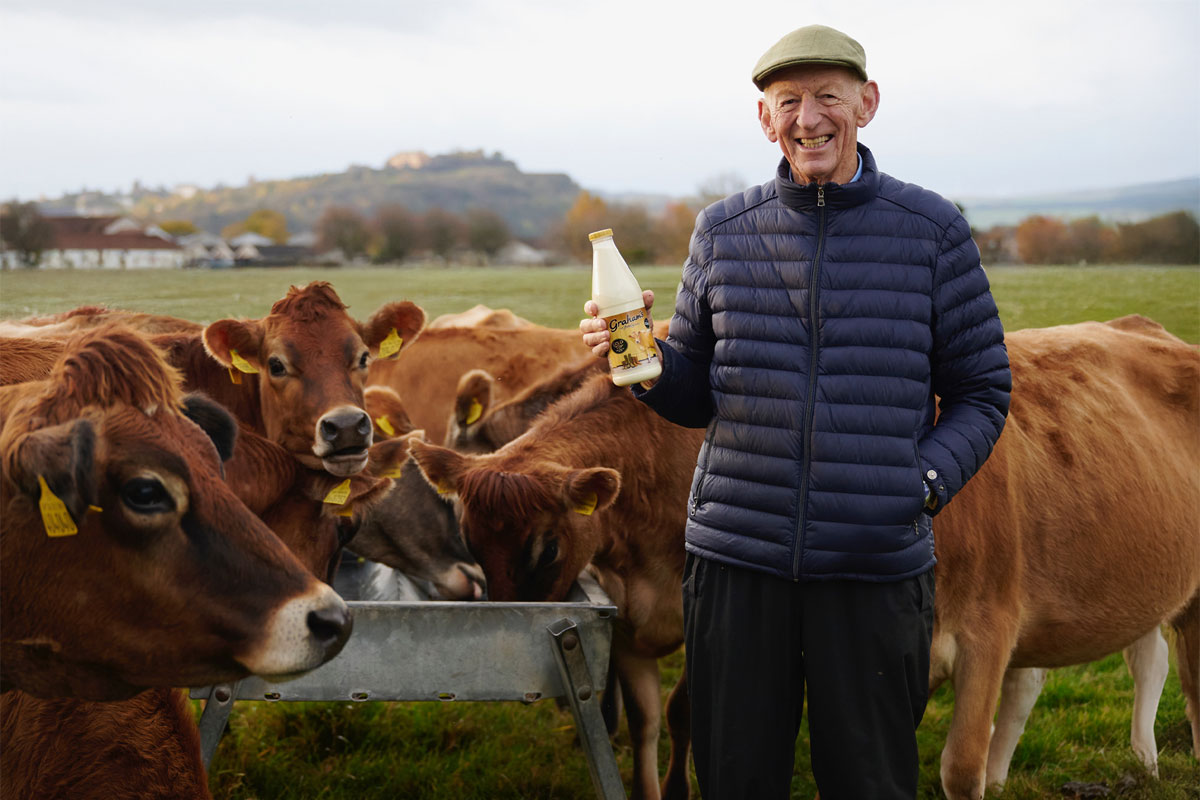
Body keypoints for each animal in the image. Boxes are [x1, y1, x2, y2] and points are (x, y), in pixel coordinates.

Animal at [410, 376, 700, 800]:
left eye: (548, 551)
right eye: (469, 540)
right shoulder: (627, 627)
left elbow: (680, 710)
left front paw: (677, 788)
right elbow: (644, 721)